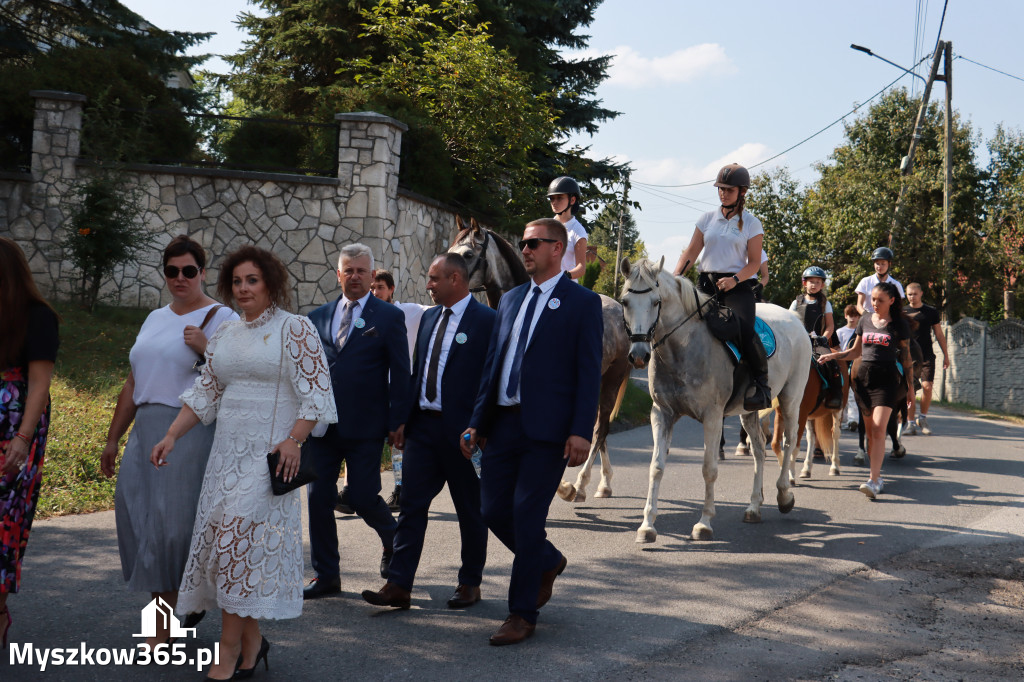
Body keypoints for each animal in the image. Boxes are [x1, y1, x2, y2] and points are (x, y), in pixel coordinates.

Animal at [618, 254, 811, 540]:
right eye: (625, 302)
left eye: (656, 302)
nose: (639, 355)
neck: (682, 348)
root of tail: (795, 318)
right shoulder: (662, 413)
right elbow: (656, 467)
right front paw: (647, 526)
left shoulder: (712, 416)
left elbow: (709, 469)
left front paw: (704, 523)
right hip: (748, 411)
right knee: (759, 449)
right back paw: (754, 507)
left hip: (791, 399)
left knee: (788, 442)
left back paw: (784, 495)